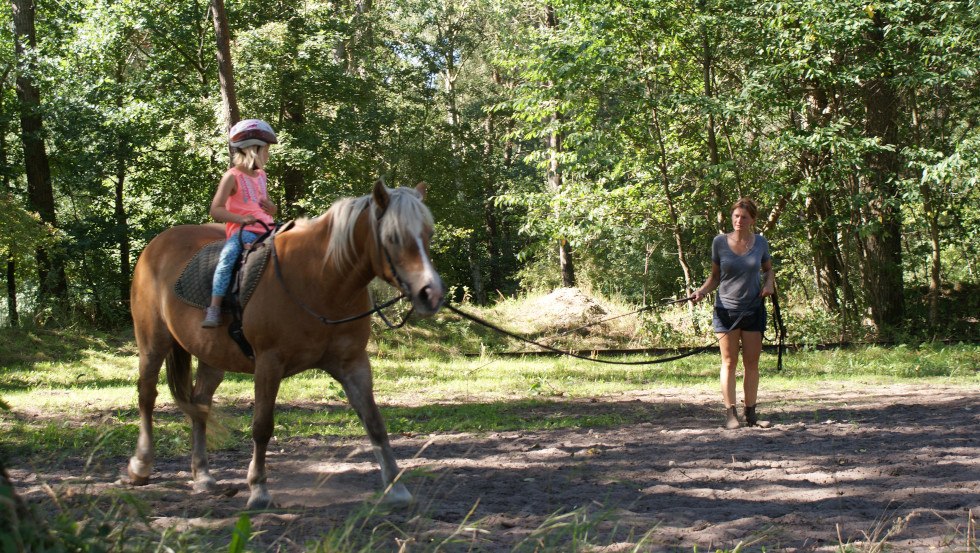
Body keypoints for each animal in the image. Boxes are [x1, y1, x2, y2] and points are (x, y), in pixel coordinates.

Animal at [126, 182, 444, 508]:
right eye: (393, 237)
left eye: (428, 234)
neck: (320, 280)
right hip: (153, 343)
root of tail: (156, 245)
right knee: (147, 396)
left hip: (212, 357)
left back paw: (202, 476)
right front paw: (259, 490)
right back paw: (141, 466)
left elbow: (374, 422)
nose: (430, 293)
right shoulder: (269, 363)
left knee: (200, 404)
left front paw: (396, 487)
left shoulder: (353, 363)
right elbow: (262, 426)